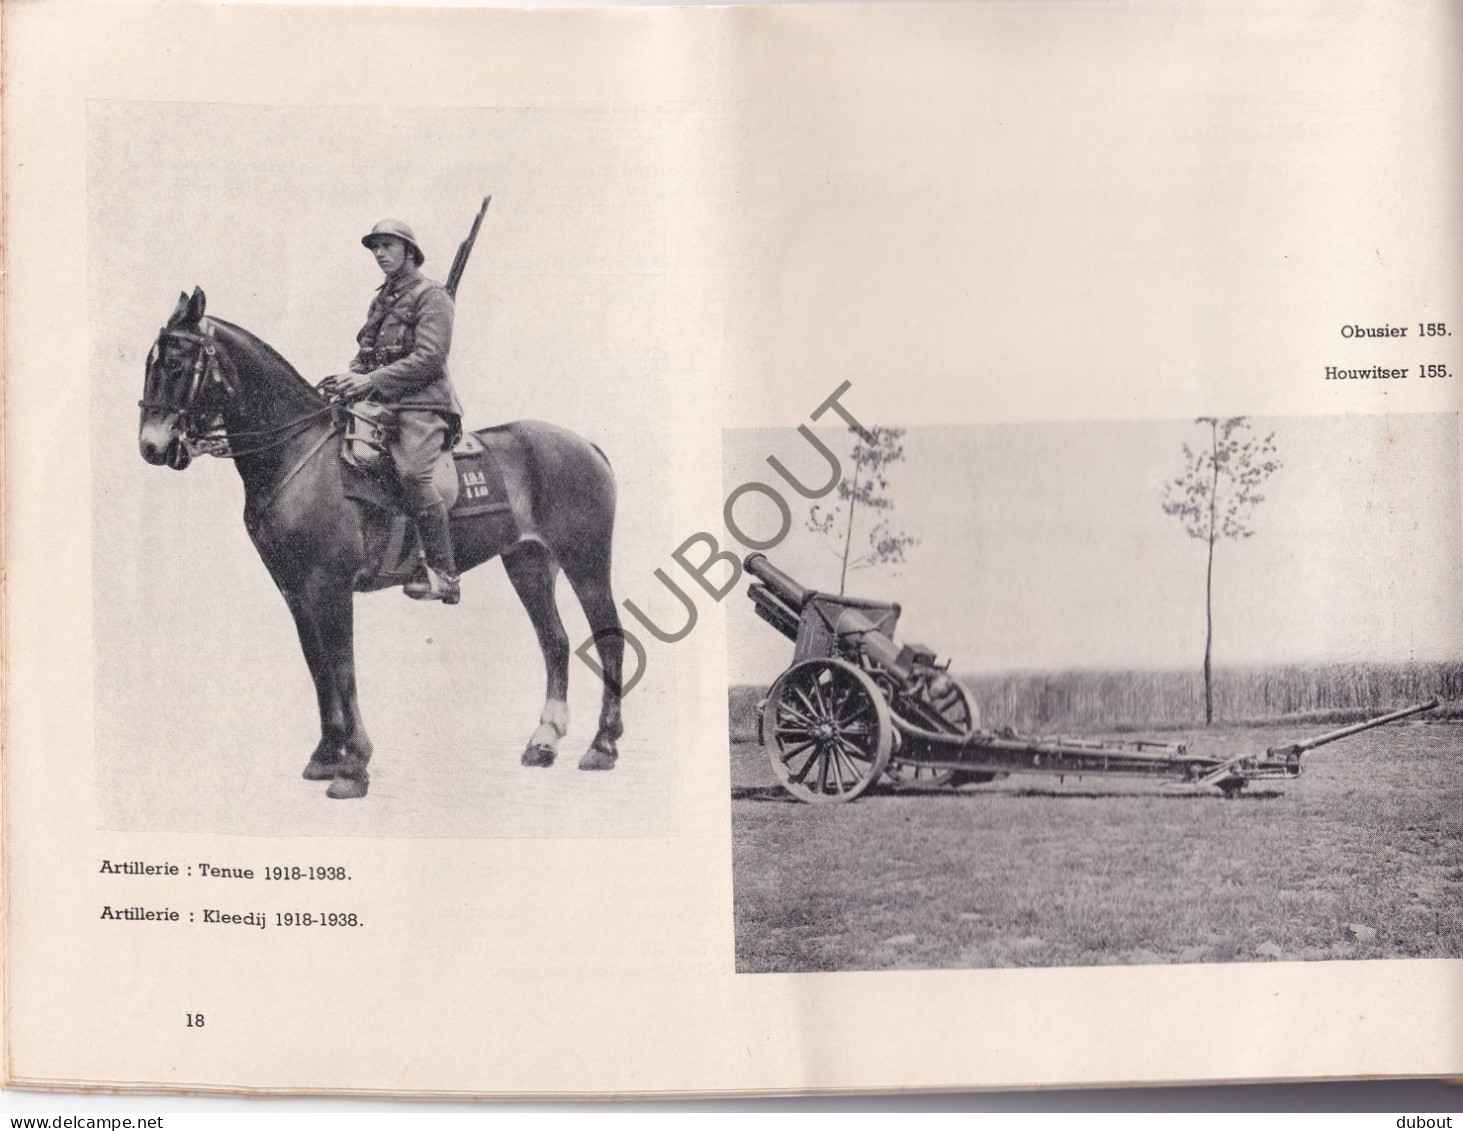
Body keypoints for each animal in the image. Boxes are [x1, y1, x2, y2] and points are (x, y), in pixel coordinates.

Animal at [138, 289, 634, 801]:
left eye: (177, 364)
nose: (153, 446)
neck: (299, 455)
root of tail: (587, 446)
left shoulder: (330, 588)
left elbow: (343, 670)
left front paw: (354, 765)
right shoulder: (295, 593)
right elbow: (319, 669)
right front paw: (325, 756)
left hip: (586, 563)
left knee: (609, 639)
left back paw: (602, 746)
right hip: (528, 563)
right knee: (554, 641)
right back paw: (544, 741)